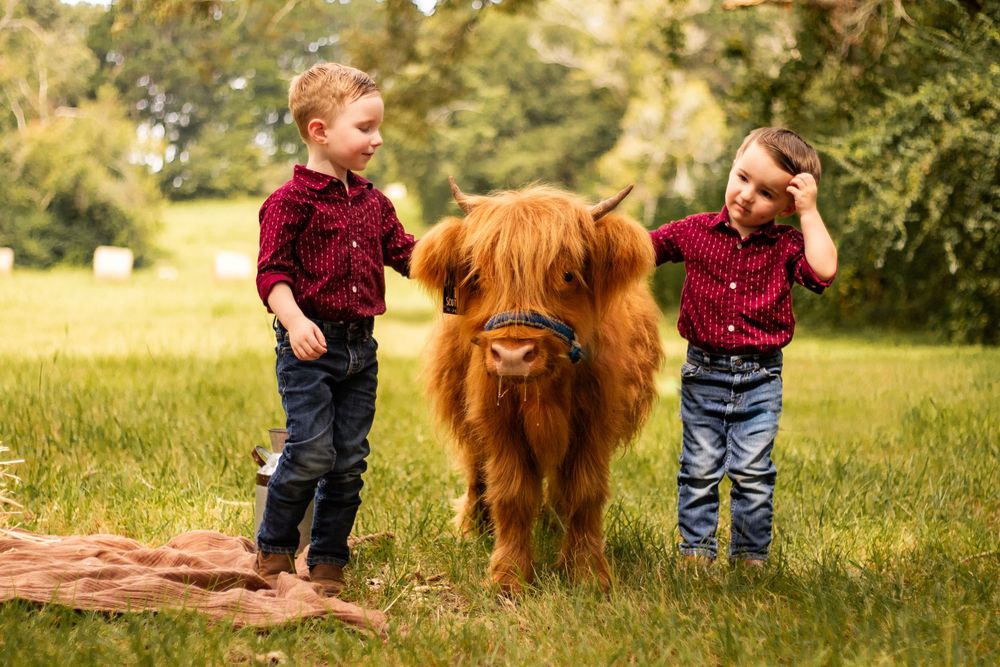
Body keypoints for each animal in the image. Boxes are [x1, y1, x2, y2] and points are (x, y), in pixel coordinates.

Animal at [409, 178, 663, 594]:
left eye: (568, 275)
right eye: (479, 275)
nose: (512, 355)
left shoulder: (595, 422)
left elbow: (585, 493)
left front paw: (586, 572)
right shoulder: (497, 421)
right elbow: (511, 493)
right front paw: (509, 576)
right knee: (476, 473)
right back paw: (472, 529)